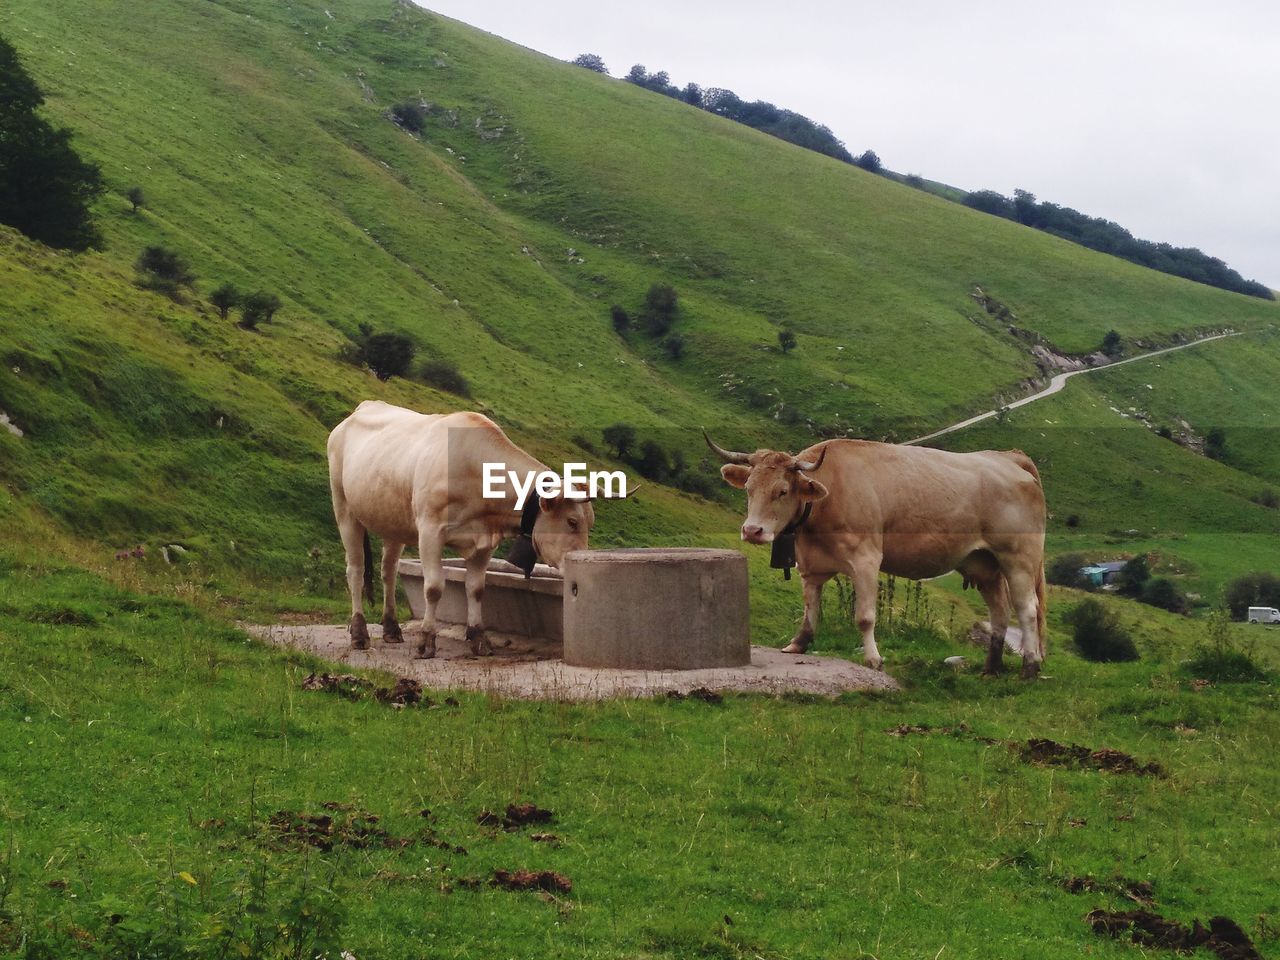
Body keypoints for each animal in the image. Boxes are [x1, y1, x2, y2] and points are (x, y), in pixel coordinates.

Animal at [327, 399, 591, 660]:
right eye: (572, 522)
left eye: (590, 522)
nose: (579, 560)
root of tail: (364, 406)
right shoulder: (430, 530)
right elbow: (433, 588)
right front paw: (426, 640)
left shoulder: (485, 541)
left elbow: (476, 589)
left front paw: (478, 638)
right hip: (344, 508)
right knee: (356, 570)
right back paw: (359, 633)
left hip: (393, 519)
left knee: (388, 571)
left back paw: (391, 628)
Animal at [701, 432, 1049, 680]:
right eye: (748, 488)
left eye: (782, 491)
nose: (753, 531)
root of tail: (1008, 457)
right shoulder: (810, 565)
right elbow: (810, 608)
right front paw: (798, 643)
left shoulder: (866, 559)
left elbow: (865, 616)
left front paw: (873, 659)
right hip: (984, 564)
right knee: (1000, 612)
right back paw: (991, 668)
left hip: (1019, 558)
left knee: (1027, 609)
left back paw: (1029, 667)